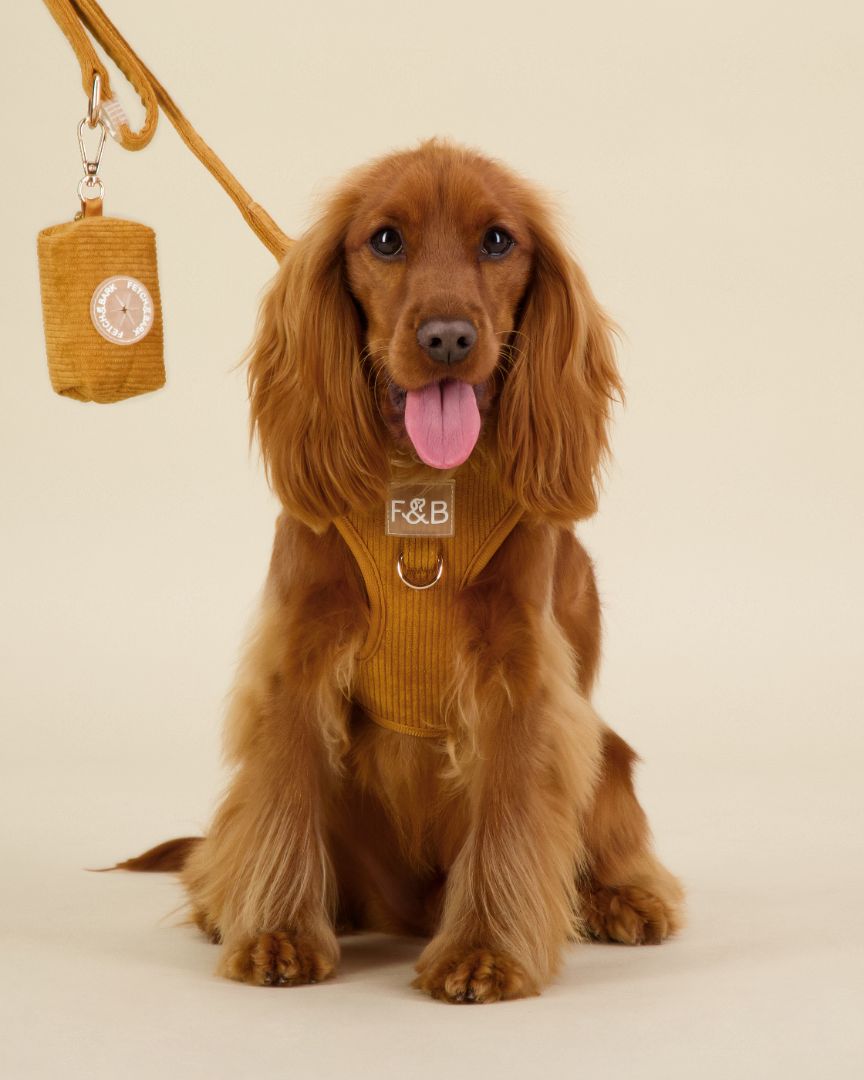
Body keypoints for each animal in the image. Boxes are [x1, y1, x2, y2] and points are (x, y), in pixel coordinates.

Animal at [126, 137, 682, 1002]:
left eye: (498, 240)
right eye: (385, 240)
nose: (448, 337)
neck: (424, 489)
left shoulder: (519, 672)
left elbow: (510, 819)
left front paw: (484, 953)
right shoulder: (298, 651)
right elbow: (281, 795)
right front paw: (278, 934)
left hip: (608, 754)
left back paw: (622, 898)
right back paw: (226, 900)